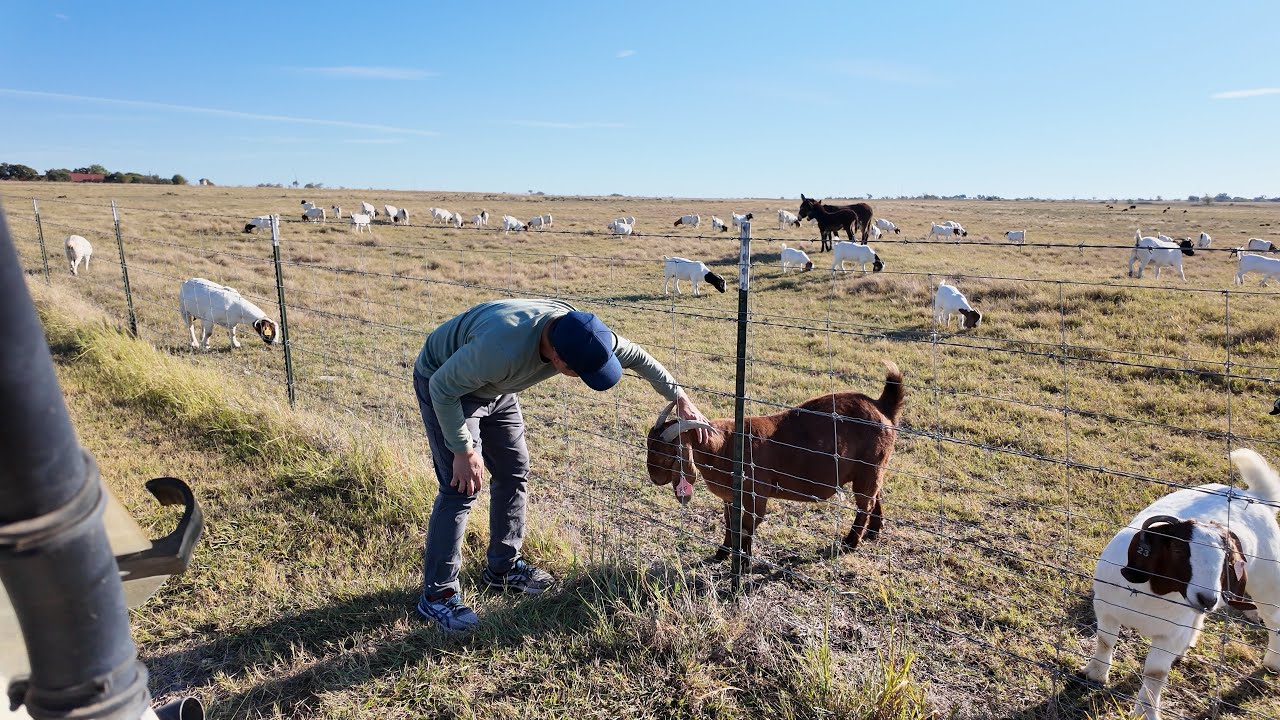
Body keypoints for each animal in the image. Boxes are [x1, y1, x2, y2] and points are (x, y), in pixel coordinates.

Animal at [646, 361, 904, 558]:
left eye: (665, 451)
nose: (654, 479)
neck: (726, 445)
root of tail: (882, 406)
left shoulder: (756, 496)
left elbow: (746, 528)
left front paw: (743, 560)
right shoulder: (730, 497)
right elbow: (730, 524)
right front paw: (723, 552)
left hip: (869, 469)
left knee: (865, 504)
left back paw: (851, 542)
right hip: (873, 468)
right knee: (876, 495)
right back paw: (873, 532)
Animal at [1082, 448, 1280, 720]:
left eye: (1228, 558)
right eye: (1177, 549)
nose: (1208, 599)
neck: (1149, 595)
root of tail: (1256, 497)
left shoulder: (1169, 635)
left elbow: (1155, 674)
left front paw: (1145, 713)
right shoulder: (1106, 609)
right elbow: (1105, 642)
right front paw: (1095, 675)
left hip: (1268, 584)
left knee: (1274, 621)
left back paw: (1272, 663)